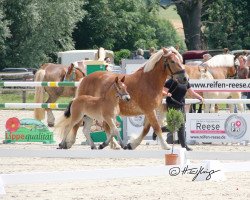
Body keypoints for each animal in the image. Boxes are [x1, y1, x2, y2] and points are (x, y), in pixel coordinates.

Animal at [57, 47, 185, 149]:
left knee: (97, 128)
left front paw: (132, 145)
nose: (184, 78)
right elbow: (157, 127)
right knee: (77, 125)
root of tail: (85, 78)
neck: (149, 82)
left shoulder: (150, 110)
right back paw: (70, 143)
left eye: (181, 60)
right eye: (173, 61)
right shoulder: (149, 110)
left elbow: (146, 129)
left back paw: (107, 144)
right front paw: (166, 146)